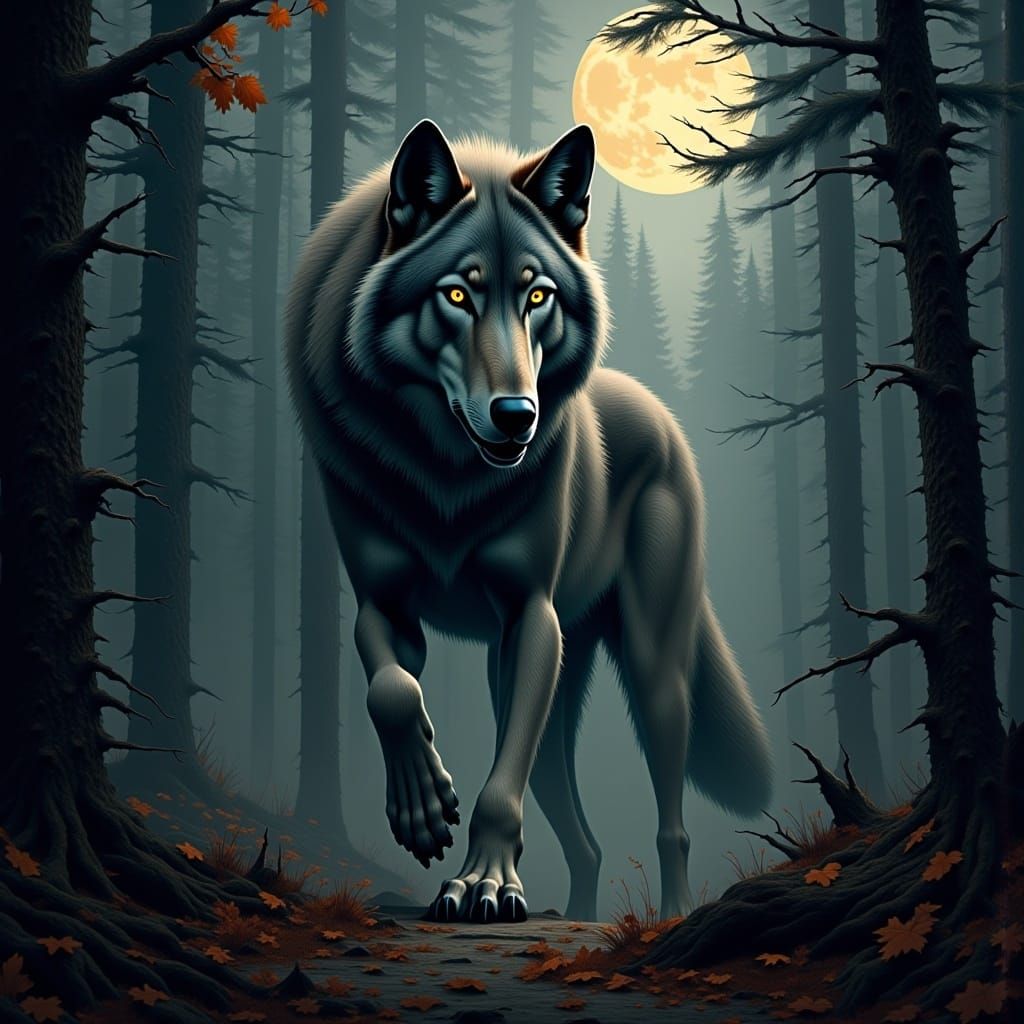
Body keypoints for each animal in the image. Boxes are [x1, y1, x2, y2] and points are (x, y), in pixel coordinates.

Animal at [285, 120, 772, 924]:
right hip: (538, 689)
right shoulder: (384, 605)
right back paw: (577, 914)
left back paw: (671, 913)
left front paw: (482, 881)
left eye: (537, 295)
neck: (445, 479)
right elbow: (392, 691)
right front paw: (421, 805)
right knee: (587, 843)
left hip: (651, 673)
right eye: (457, 293)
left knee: (670, 823)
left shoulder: (529, 615)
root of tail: (661, 414)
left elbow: (495, 789)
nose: (518, 414)